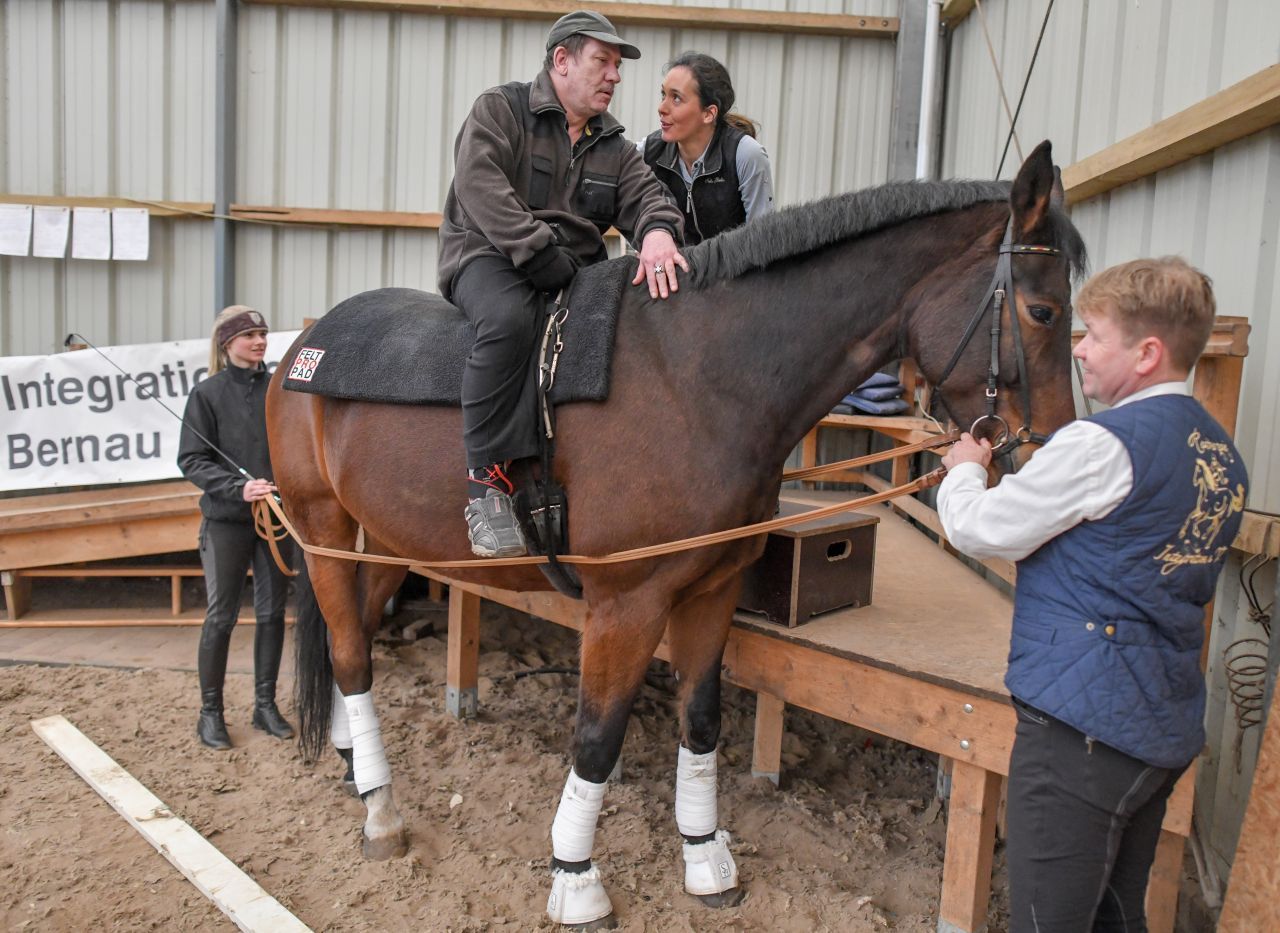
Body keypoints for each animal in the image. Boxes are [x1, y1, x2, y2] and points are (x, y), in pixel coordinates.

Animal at [270, 142, 1090, 926]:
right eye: (1045, 312)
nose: (1051, 448)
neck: (699, 378)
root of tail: (303, 348)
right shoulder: (626, 605)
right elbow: (598, 737)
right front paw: (576, 877)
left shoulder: (710, 590)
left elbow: (700, 723)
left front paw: (704, 859)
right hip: (319, 526)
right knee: (351, 655)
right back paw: (380, 810)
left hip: (381, 539)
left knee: (355, 641)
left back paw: (353, 762)